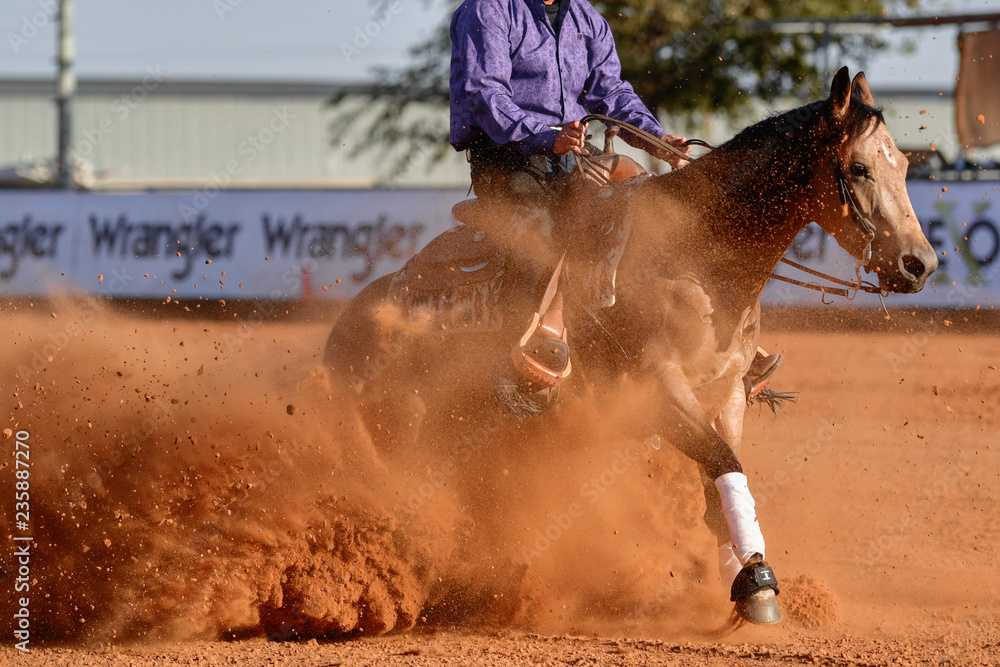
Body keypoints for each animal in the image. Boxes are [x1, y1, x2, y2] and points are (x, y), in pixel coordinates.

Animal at [323, 67, 938, 627]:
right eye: (858, 168)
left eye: (904, 165)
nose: (921, 264)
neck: (696, 255)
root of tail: (345, 331)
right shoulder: (653, 393)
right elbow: (722, 461)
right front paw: (757, 582)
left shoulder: (724, 397)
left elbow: (717, 485)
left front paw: (733, 575)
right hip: (409, 442)